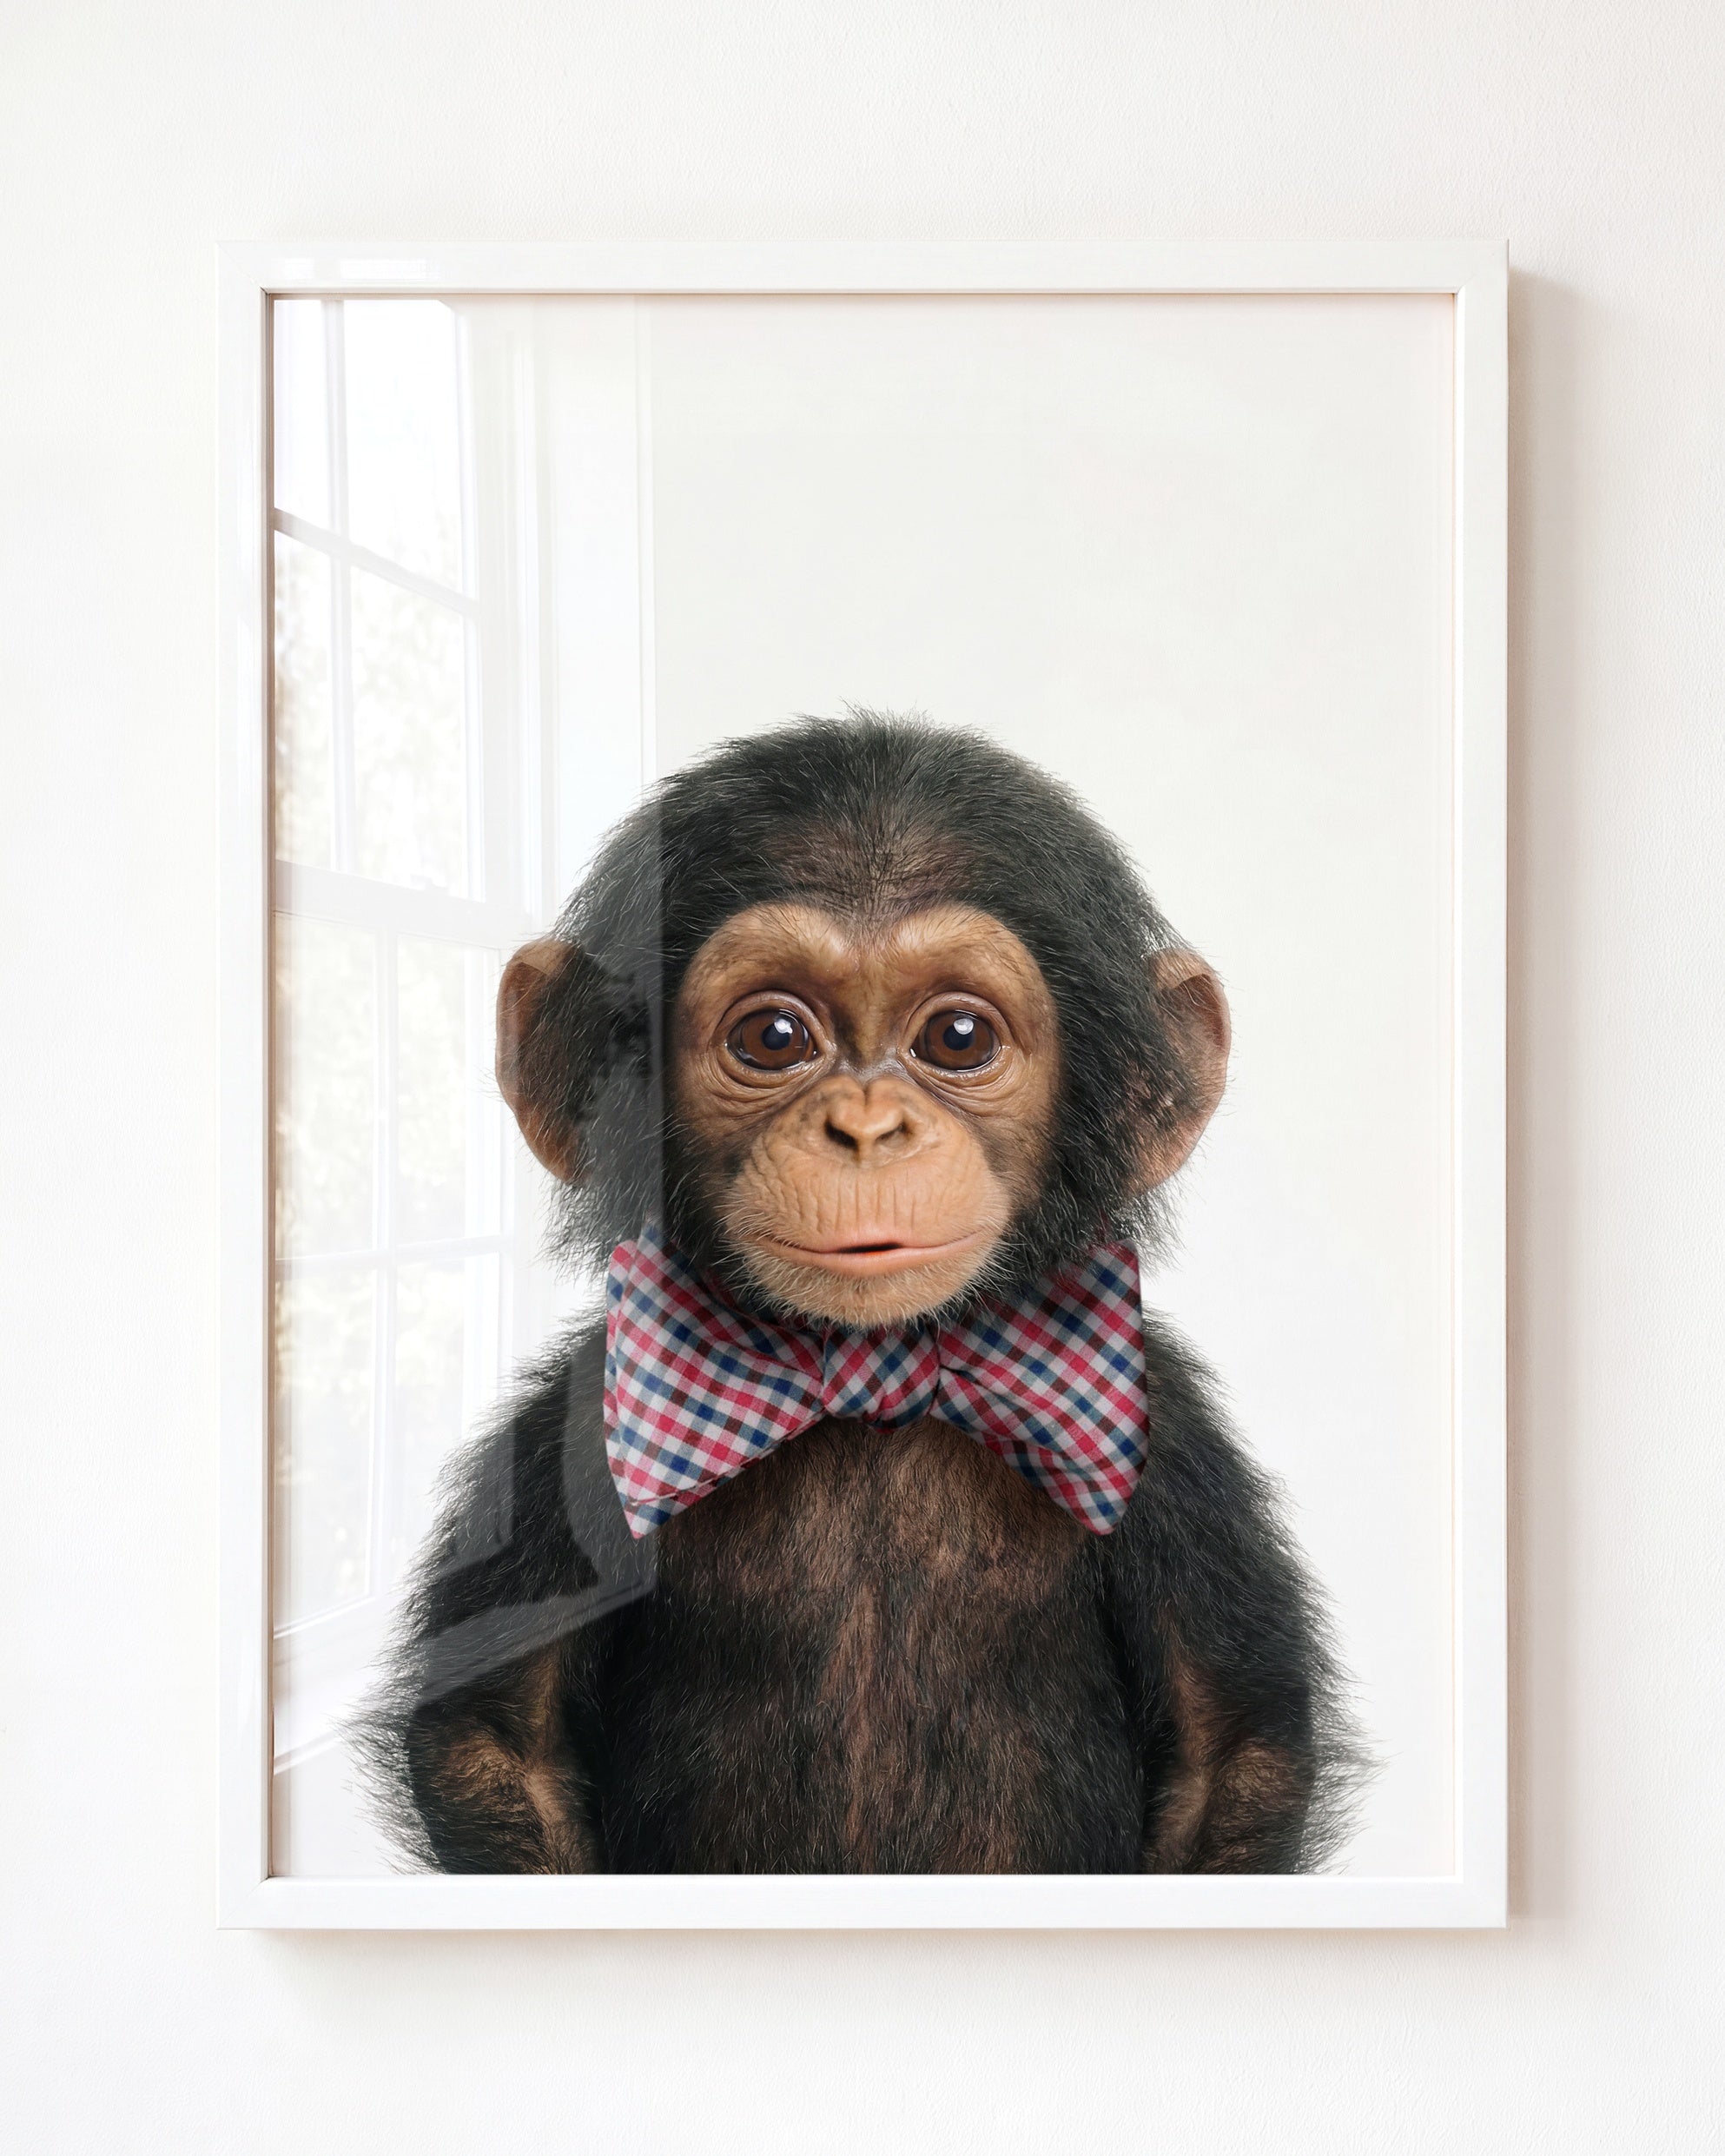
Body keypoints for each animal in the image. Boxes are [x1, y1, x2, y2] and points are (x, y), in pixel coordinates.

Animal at [359, 713, 1367, 1874]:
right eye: (773, 1037)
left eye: (958, 1038)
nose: (868, 1127)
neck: (871, 1374)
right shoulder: (568, 1431)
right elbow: (497, 1738)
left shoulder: (1176, 1450)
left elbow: (1229, 1748)